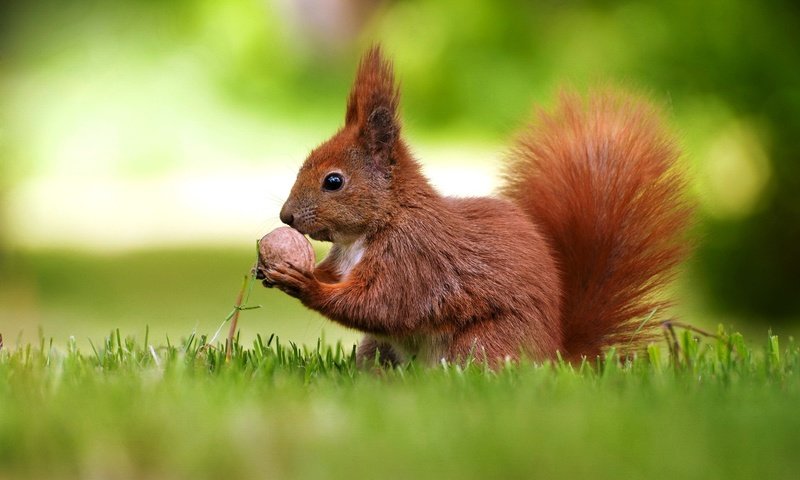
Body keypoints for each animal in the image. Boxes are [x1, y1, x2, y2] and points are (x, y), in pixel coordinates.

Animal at [262, 46, 692, 368]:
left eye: (334, 181)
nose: (286, 216)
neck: (375, 226)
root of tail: (555, 356)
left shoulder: (415, 259)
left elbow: (380, 305)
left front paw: (304, 284)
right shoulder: (347, 259)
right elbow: (341, 281)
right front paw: (275, 270)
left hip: (482, 343)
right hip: (379, 349)